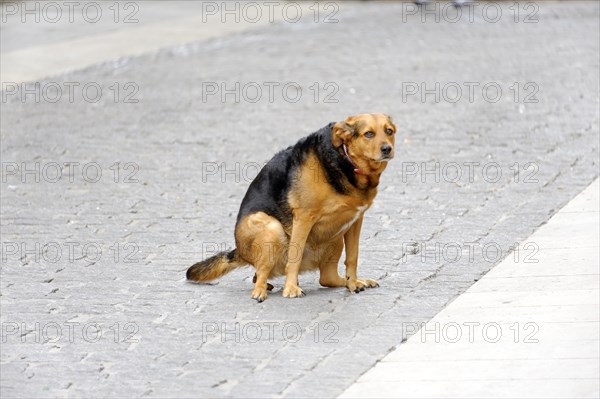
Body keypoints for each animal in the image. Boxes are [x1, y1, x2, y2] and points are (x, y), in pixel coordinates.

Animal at [185, 111, 396, 300]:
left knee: (326, 279)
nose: (387, 149)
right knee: (259, 275)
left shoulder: (355, 220)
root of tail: (239, 251)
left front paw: (353, 284)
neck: (345, 161)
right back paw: (261, 291)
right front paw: (291, 288)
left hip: (335, 238)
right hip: (271, 228)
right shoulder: (304, 217)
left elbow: (353, 257)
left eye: (389, 131)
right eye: (368, 134)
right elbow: (295, 257)